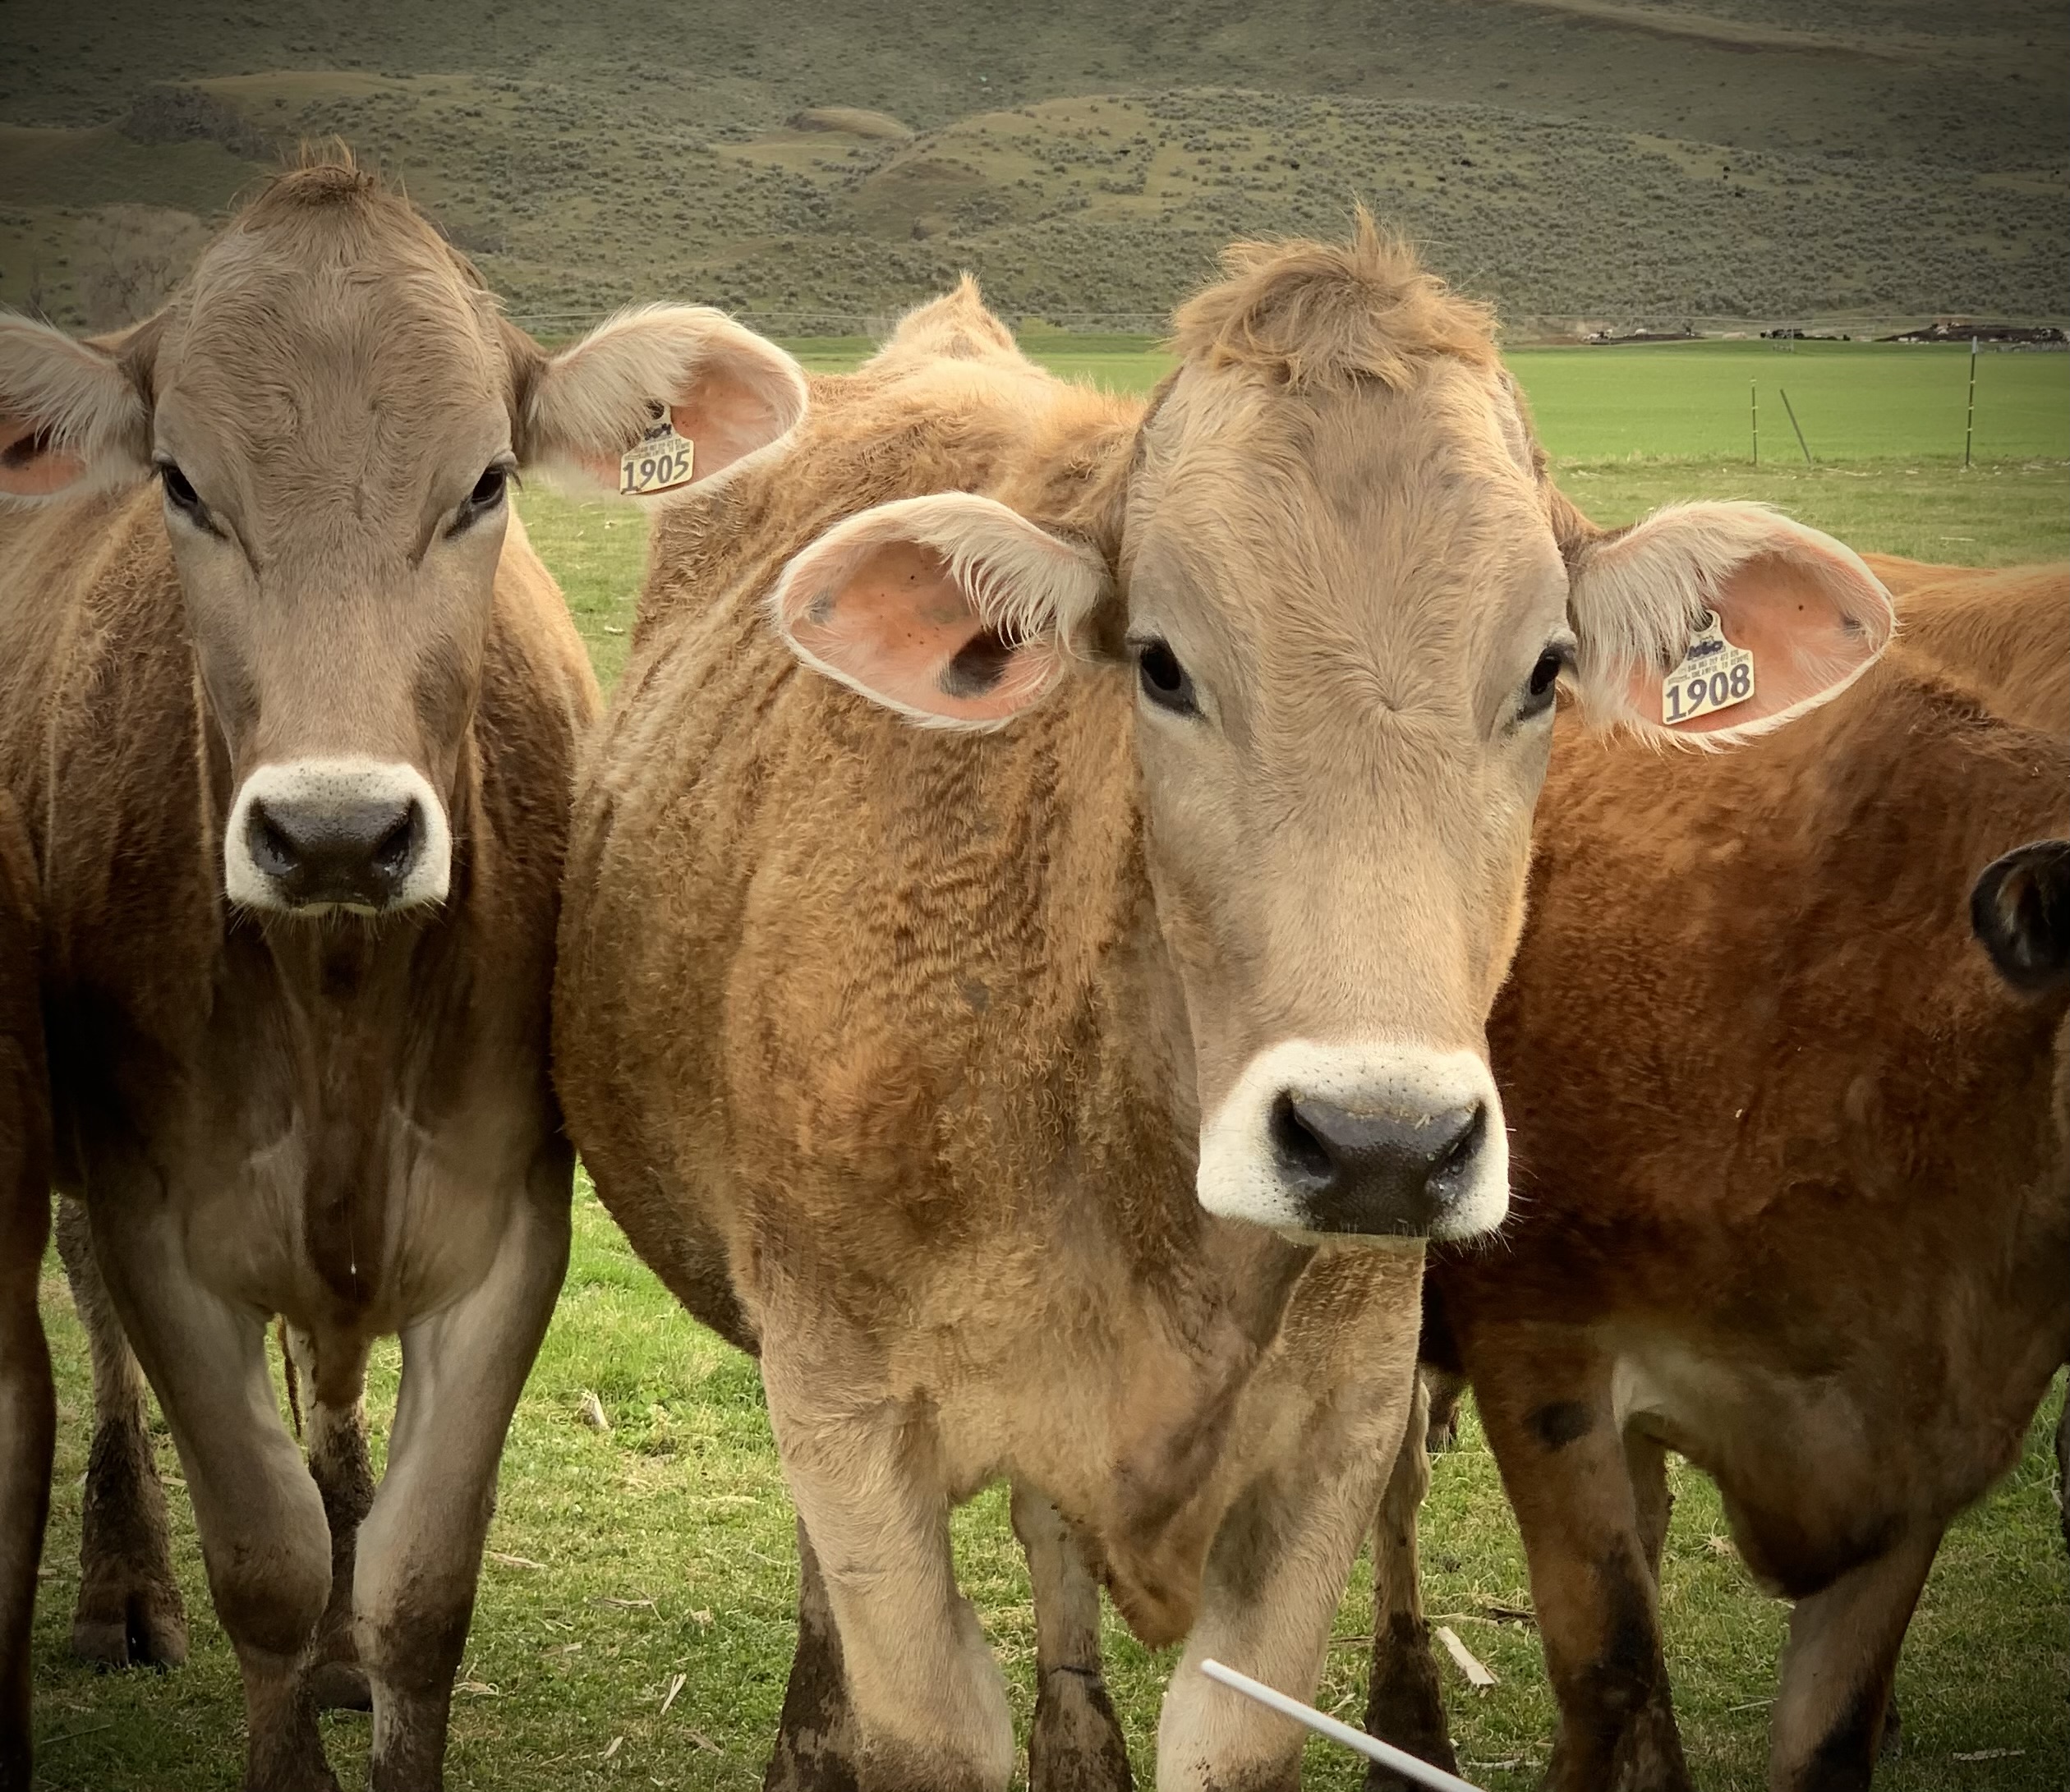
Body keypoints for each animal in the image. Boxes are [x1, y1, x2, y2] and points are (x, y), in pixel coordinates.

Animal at [0, 153, 806, 1791]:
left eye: (486, 481)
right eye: (182, 484)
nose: (335, 830)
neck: (341, 1010)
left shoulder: (507, 1231)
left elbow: (420, 1586)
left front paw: (364, 1647)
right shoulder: (162, 1225)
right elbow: (261, 1556)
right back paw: (124, 1583)